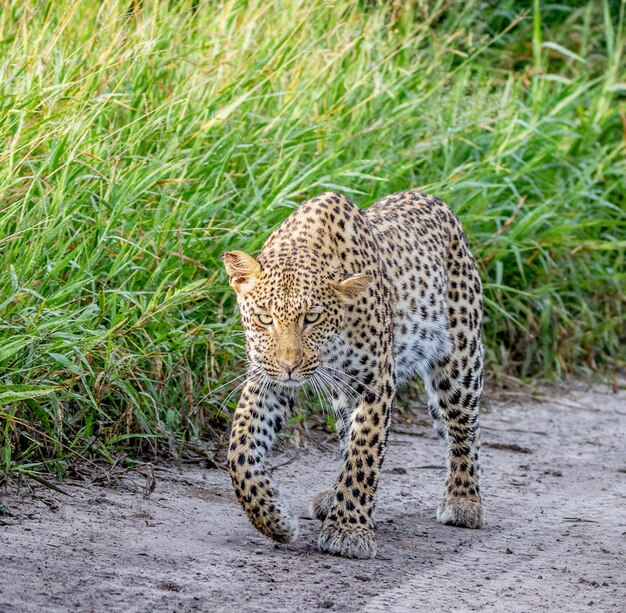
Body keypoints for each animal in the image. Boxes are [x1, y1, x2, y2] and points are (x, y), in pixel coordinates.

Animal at [219, 190, 482, 560]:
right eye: (265, 318)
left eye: (312, 318)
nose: (289, 365)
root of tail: (432, 197)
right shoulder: (266, 380)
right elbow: (240, 451)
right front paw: (274, 519)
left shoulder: (375, 383)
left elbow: (364, 453)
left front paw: (348, 530)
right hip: (342, 392)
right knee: (345, 434)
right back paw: (331, 496)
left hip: (460, 360)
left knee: (463, 429)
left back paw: (464, 500)